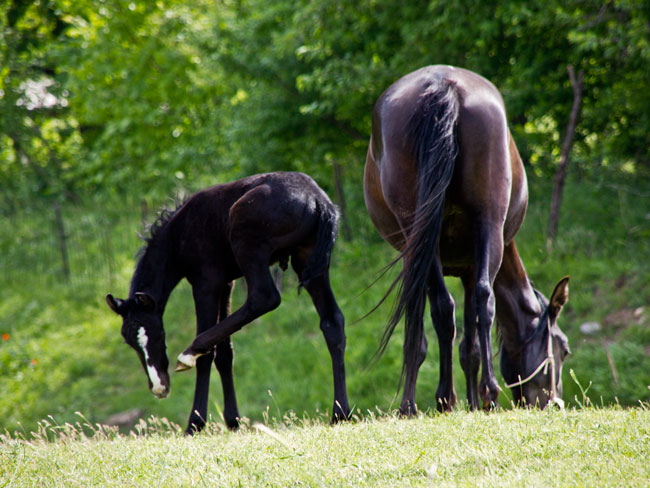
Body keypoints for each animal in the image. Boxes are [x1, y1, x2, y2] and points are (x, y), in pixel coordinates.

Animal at [107, 172, 350, 434]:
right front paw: (233, 421)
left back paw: (191, 352)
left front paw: (195, 423)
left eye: (159, 334)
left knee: (265, 297)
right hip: (307, 259)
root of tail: (318, 199)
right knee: (332, 323)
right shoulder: (226, 284)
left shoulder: (206, 285)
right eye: (129, 342)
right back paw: (340, 413)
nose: (159, 387)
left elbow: (208, 356)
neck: (178, 235)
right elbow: (224, 353)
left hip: (250, 248)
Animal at [362, 66, 568, 414]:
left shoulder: (445, 264)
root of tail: (443, 84)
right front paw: (469, 399)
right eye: (563, 348)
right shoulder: (466, 265)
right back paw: (480, 394)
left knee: (450, 308)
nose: (555, 402)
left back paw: (450, 398)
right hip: (484, 226)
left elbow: (446, 333)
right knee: (478, 301)